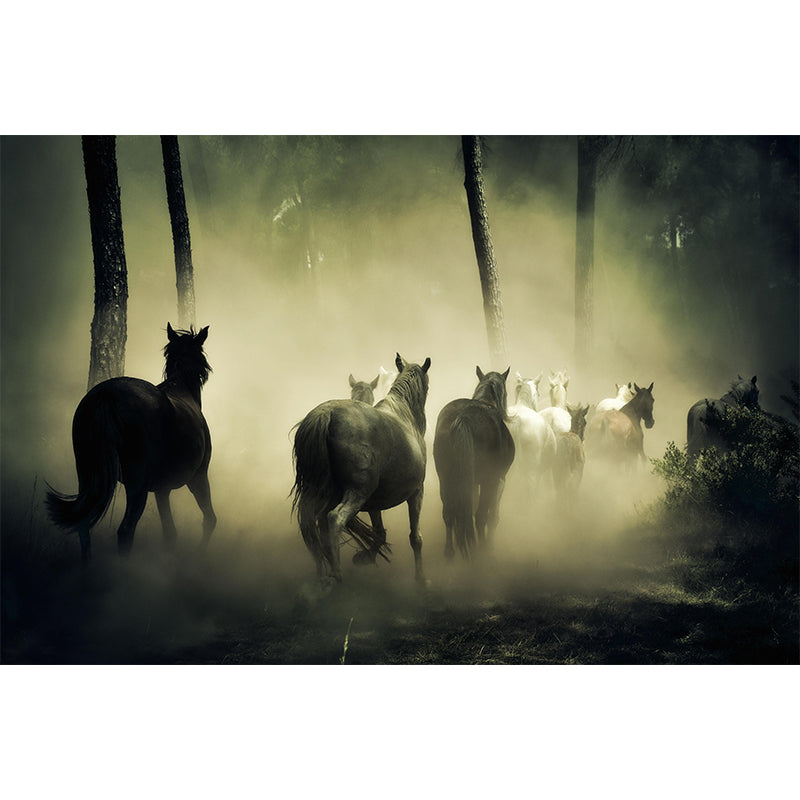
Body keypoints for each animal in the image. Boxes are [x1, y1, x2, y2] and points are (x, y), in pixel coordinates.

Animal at [46, 324, 216, 565]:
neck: (180, 386)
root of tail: (106, 393)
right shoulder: (198, 478)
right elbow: (209, 520)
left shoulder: (162, 489)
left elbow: (170, 533)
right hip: (138, 485)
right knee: (125, 531)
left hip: (87, 476)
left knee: (83, 526)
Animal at [291, 353, 431, 584]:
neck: (404, 416)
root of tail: (326, 414)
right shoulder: (416, 492)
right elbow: (415, 538)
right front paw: (422, 581)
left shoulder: (375, 501)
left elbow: (380, 533)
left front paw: (364, 557)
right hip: (357, 493)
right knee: (334, 518)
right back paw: (336, 574)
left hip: (323, 493)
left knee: (310, 524)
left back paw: (322, 574)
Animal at [433, 366, 515, 560]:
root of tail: (464, 418)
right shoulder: (499, 480)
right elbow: (492, 517)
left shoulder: (469, 483)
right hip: (488, 481)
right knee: (480, 517)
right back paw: (482, 551)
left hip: (445, 478)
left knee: (450, 512)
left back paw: (450, 551)